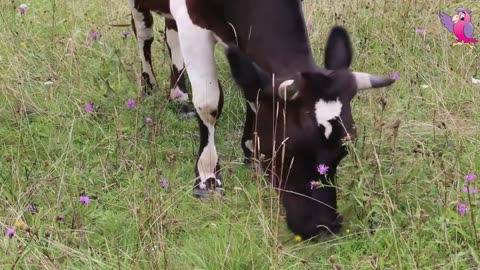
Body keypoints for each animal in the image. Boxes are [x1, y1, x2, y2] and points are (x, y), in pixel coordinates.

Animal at [127, 0, 394, 238]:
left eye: (344, 150)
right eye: (287, 151)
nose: (322, 227)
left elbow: (252, 91)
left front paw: (250, 153)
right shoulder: (193, 22)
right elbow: (208, 103)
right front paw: (207, 177)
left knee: (170, 35)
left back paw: (179, 95)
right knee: (143, 30)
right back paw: (149, 83)